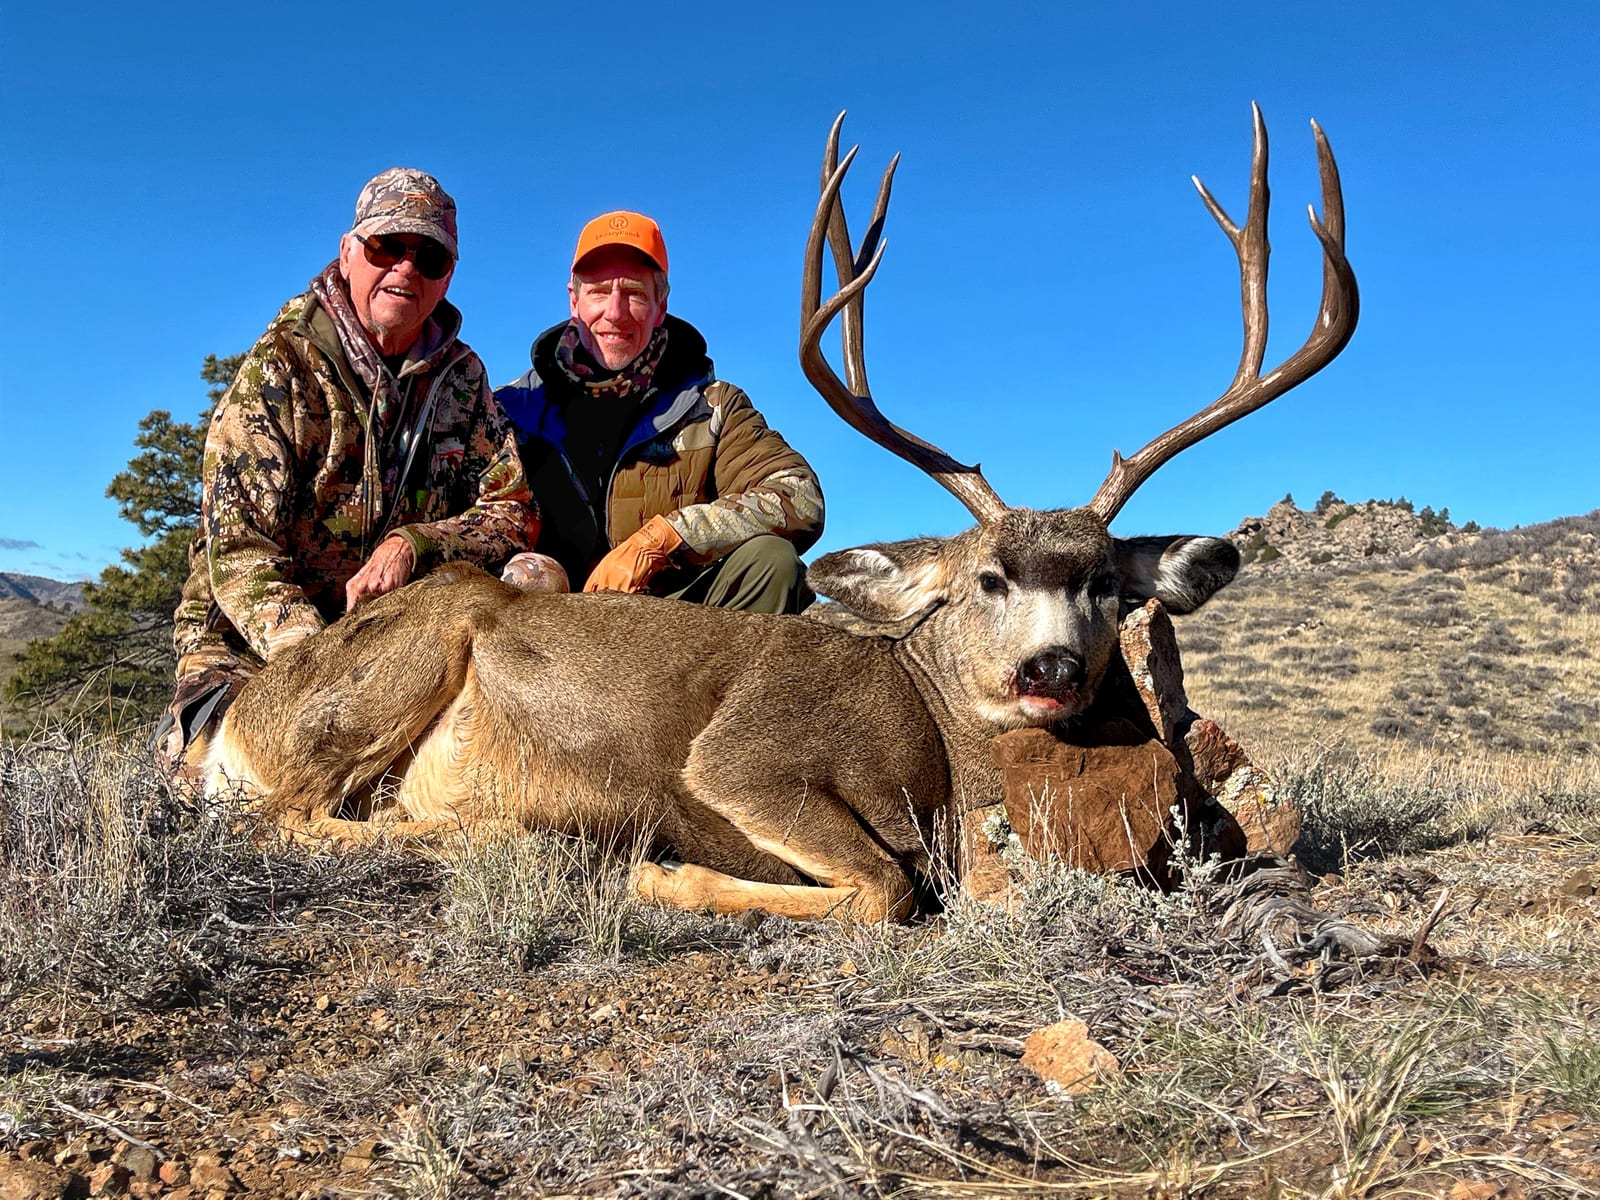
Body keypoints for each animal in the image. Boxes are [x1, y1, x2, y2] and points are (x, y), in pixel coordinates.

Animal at [198, 107, 1358, 923]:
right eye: (986, 578)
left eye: (1108, 584)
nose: (1052, 669)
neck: (941, 751)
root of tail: (232, 724)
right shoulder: (744, 758)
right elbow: (890, 889)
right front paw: (660, 878)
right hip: (405, 658)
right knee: (282, 818)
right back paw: (507, 833)